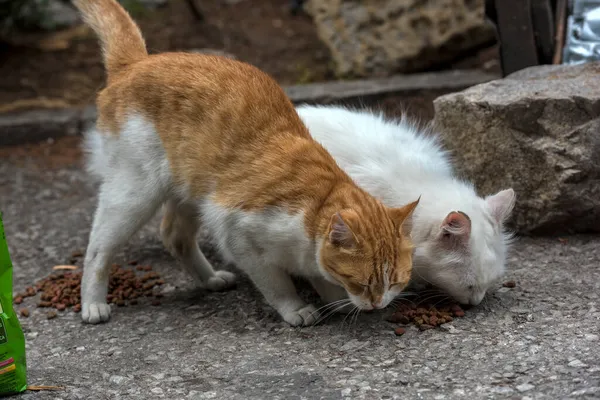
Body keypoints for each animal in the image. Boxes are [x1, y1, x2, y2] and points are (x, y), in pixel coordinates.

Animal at [74, 0, 418, 324]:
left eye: (395, 282)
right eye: (362, 282)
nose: (377, 304)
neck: (317, 203)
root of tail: (138, 62)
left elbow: (319, 275)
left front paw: (334, 299)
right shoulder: (237, 234)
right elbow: (276, 283)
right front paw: (297, 308)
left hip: (190, 192)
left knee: (174, 236)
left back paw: (211, 279)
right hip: (134, 193)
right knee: (98, 249)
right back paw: (93, 304)